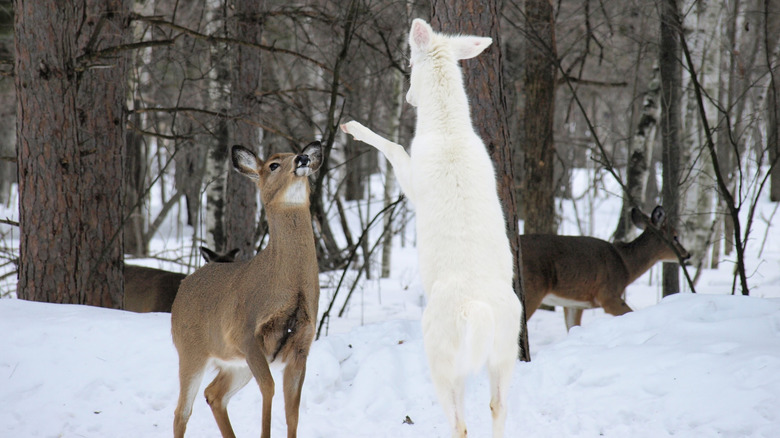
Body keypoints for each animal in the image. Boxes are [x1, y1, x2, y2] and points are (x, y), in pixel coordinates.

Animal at [171, 141, 322, 438]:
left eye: (299, 153)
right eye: (273, 164)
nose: (303, 158)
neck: (290, 285)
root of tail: (182, 287)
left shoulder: (302, 344)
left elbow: (293, 410)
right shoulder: (247, 332)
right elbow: (269, 390)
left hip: (236, 364)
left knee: (214, 394)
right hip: (191, 350)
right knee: (181, 412)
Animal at [341, 19, 520, 438]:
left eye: (409, 64)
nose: (408, 98)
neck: (448, 131)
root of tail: (478, 313)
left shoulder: (413, 180)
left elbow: (395, 149)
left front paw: (351, 126)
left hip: (441, 353)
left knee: (460, 422)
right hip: (507, 350)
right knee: (498, 406)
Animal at [522, 205, 690, 331]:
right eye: (675, 236)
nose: (687, 254)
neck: (625, 265)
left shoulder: (574, 304)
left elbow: (572, 328)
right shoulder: (608, 294)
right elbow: (630, 313)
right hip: (532, 289)